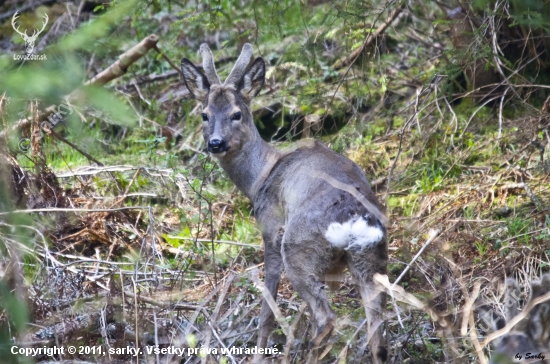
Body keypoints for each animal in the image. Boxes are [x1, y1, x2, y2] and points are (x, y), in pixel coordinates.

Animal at [181, 43, 388, 364]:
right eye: (204, 115)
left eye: (237, 114)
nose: (215, 143)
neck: (260, 177)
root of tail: (353, 220)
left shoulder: (270, 227)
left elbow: (267, 309)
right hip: (370, 258)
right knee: (376, 333)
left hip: (297, 248)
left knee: (326, 319)